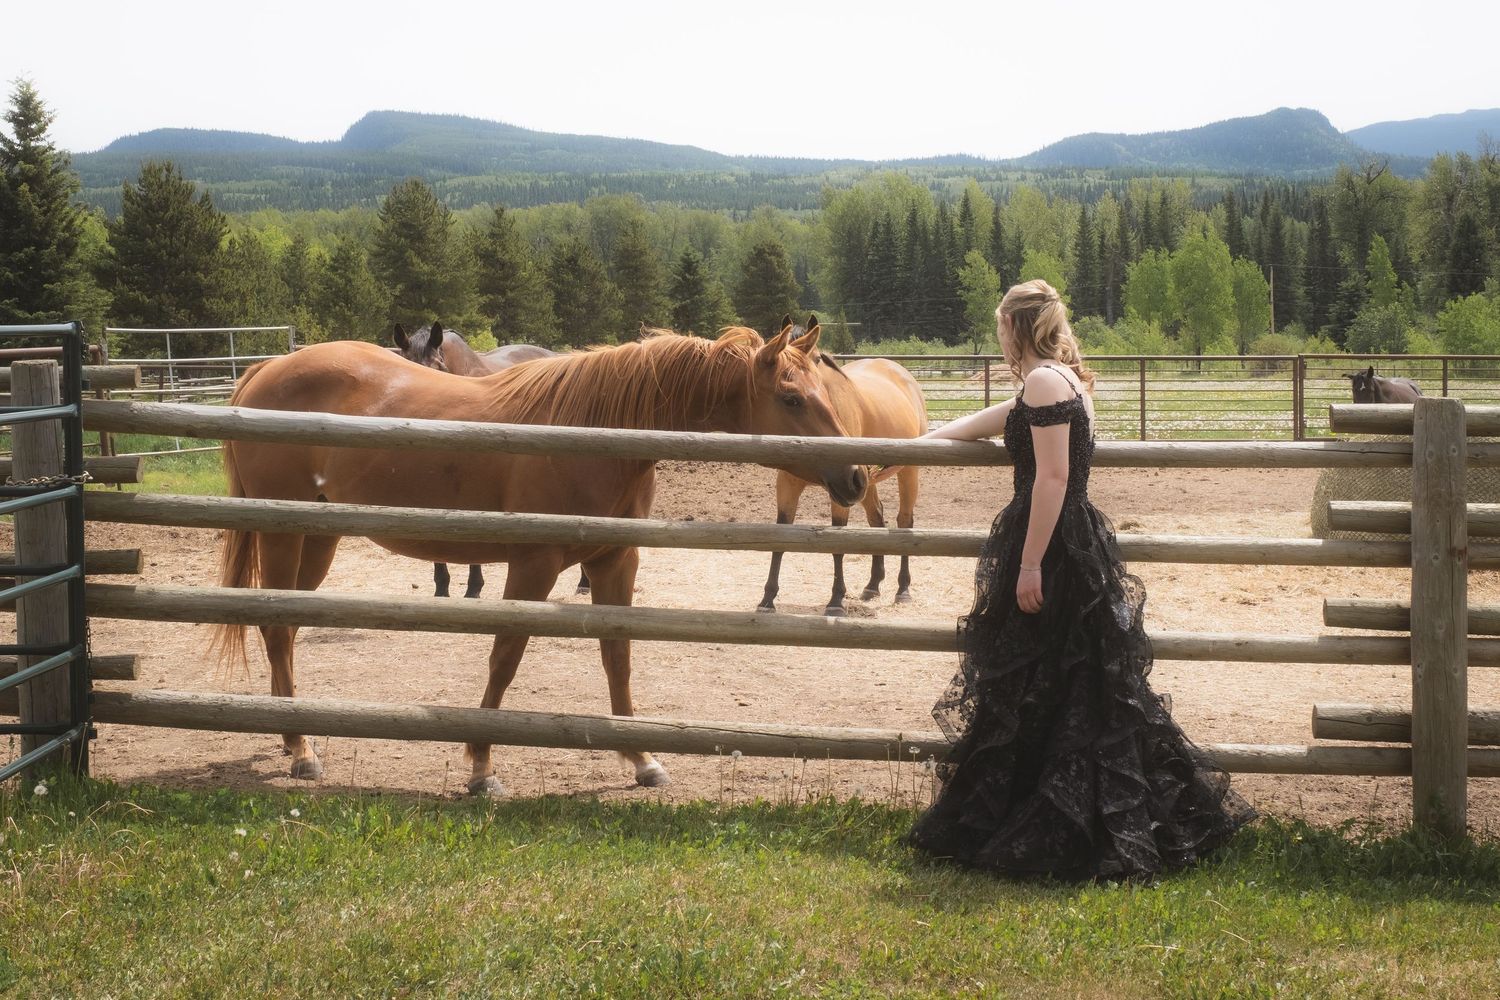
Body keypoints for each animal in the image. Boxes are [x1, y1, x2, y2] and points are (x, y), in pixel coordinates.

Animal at [757, 315, 928, 616]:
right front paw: (768, 599)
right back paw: (873, 585)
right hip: (866, 482)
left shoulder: (842, 490)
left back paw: (903, 589)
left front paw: (836, 600)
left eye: (813, 361)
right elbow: (780, 537)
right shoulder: (789, 484)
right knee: (877, 519)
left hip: (907, 472)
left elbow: (838, 542)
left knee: (904, 522)